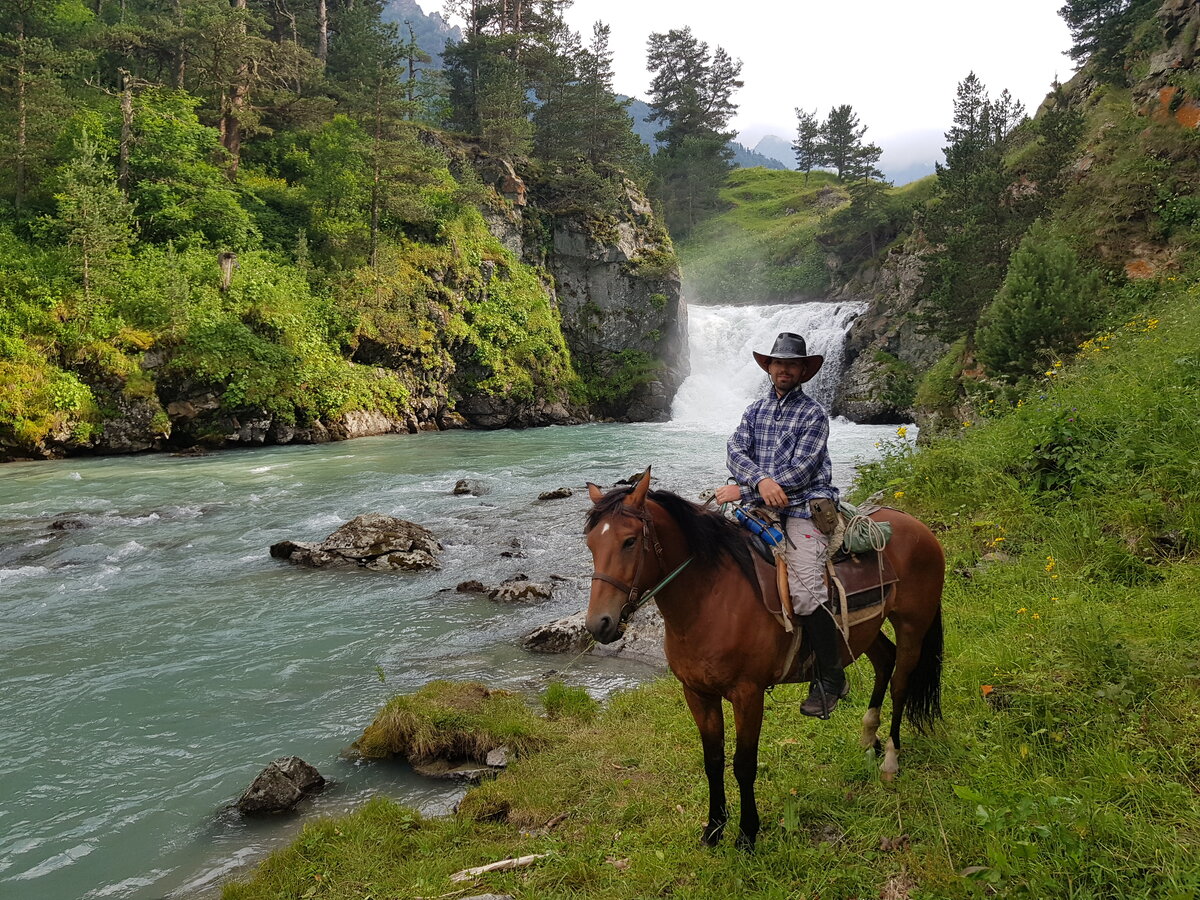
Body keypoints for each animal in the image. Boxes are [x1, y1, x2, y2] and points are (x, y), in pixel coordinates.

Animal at [585, 472, 940, 854]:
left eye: (629, 541)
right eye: (591, 545)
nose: (598, 624)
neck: (710, 599)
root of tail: (918, 527)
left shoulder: (747, 695)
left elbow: (743, 764)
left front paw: (746, 834)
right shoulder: (697, 694)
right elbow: (712, 761)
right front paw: (714, 829)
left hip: (912, 626)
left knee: (901, 683)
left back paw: (890, 758)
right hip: (865, 630)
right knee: (884, 662)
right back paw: (867, 738)